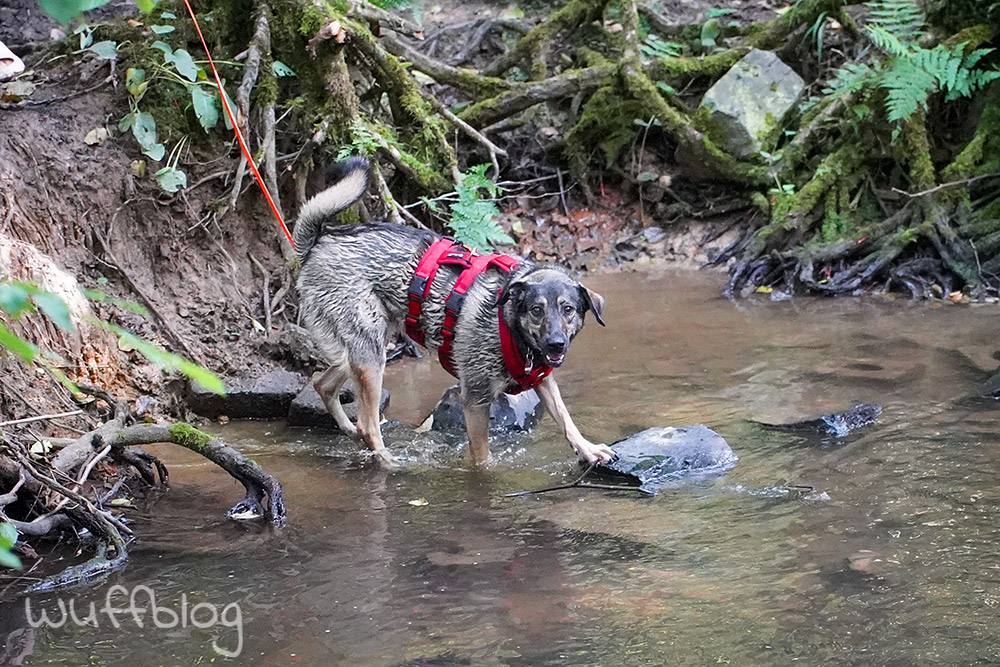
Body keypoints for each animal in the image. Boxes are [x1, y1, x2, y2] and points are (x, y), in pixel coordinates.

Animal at [292, 159, 612, 468]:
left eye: (568, 309)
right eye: (536, 310)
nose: (555, 344)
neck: (510, 326)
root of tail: (319, 242)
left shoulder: (543, 381)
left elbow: (565, 418)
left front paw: (588, 449)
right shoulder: (475, 400)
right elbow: (482, 458)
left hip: (364, 350)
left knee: (323, 385)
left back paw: (349, 430)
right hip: (370, 357)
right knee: (367, 423)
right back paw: (388, 461)